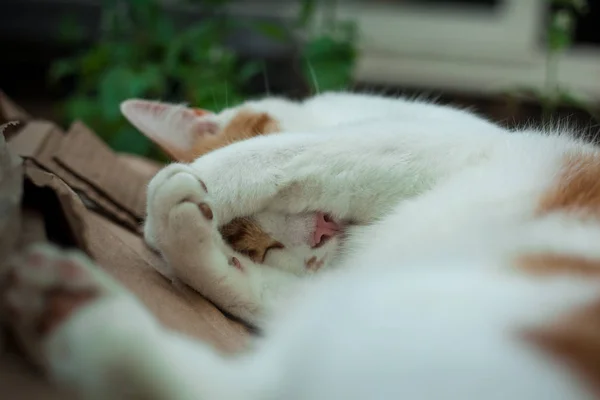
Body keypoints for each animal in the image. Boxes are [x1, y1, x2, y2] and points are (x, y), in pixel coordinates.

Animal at [3, 92, 600, 398]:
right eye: (261, 249)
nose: (315, 235)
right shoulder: (328, 286)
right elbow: (253, 290)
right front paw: (188, 238)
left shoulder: (419, 142)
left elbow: (287, 153)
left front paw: (183, 191)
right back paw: (65, 308)